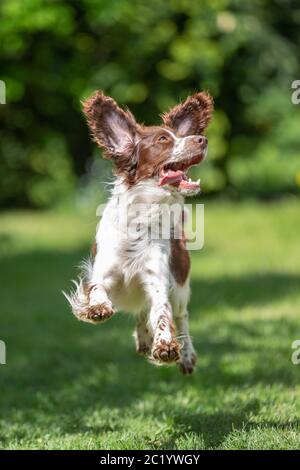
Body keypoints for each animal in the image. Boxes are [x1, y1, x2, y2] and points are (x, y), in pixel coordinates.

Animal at [65, 90, 213, 372]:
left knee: (181, 315)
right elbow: (97, 290)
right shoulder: (102, 272)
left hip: (180, 284)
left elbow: (163, 312)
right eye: (163, 139)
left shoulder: (157, 281)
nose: (203, 139)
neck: (141, 220)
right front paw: (98, 308)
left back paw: (185, 355)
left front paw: (166, 346)